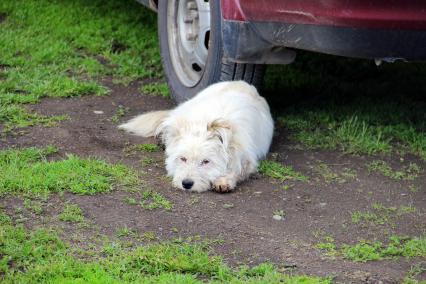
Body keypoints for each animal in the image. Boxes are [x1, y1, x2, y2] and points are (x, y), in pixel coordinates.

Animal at [119, 81, 272, 194]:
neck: (203, 125)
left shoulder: (247, 158)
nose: (186, 184)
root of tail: (240, 82)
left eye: (205, 161)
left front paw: (224, 181)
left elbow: (238, 169)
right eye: (183, 159)